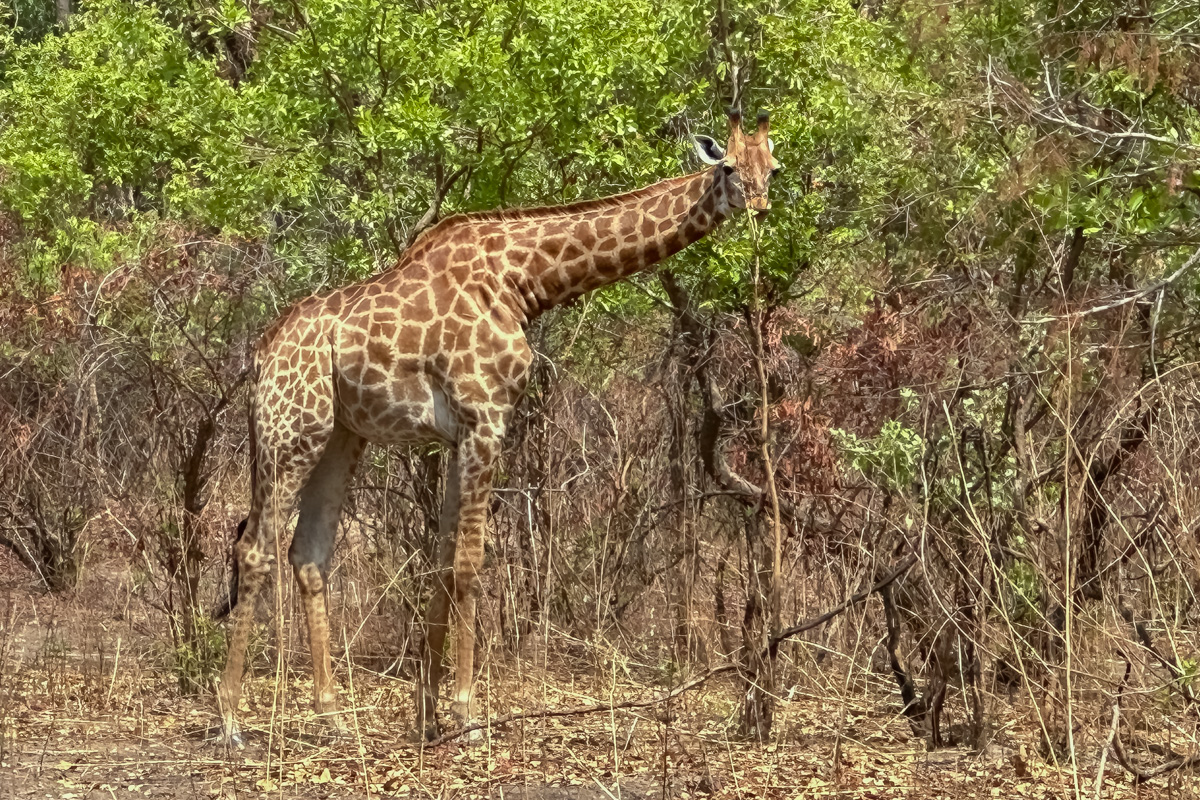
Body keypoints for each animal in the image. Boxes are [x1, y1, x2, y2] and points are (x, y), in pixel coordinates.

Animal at [215, 108, 781, 744]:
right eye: (729, 167)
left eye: (773, 169)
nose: (760, 210)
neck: (524, 280)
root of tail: (262, 352)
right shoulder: (487, 416)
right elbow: (469, 563)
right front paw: (466, 715)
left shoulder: (458, 432)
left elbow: (442, 562)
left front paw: (428, 715)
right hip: (291, 427)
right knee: (253, 549)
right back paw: (232, 720)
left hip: (341, 434)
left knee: (309, 553)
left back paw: (333, 716)